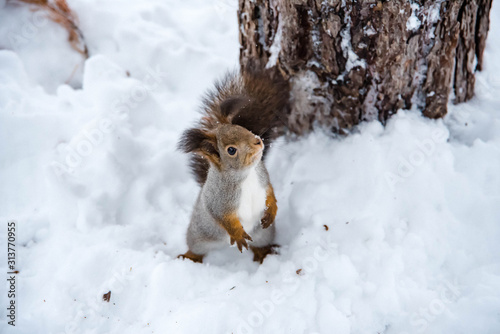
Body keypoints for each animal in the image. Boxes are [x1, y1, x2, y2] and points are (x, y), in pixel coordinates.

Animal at [179, 70, 290, 264]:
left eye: (242, 127)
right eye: (231, 150)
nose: (258, 141)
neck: (247, 174)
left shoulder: (263, 176)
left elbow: (270, 192)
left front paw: (272, 210)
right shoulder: (219, 200)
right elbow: (224, 218)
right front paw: (237, 234)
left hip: (263, 234)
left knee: (260, 243)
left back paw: (264, 252)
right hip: (199, 236)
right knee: (196, 248)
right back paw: (190, 257)